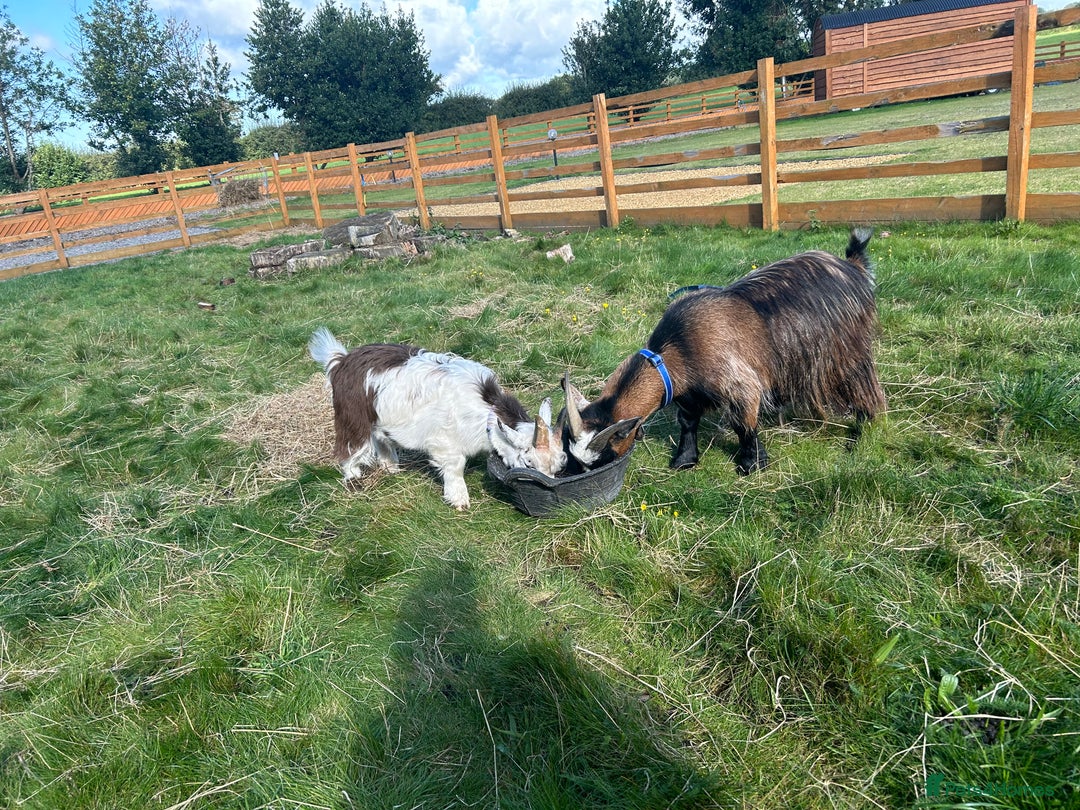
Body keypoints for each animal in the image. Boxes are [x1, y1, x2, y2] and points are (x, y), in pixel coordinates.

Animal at [309, 328, 565, 508]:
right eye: (529, 462)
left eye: (558, 465)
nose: (546, 488)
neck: (484, 406)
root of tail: (341, 361)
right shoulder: (444, 441)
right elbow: (455, 466)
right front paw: (459, 499)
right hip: (353, 417)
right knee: (350, 448)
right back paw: (353, 478)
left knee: (381, 440)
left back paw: (391, 467)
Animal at [561, 228, 886, 475]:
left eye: (604, 457)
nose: (574, 476)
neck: (675, 351)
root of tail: (851, 265)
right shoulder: (688, 394)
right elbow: (688, 423)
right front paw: (684, 460)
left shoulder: (739, 383)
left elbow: (744, 425)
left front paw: (751, 463)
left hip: (846, 351)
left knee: (864, 384)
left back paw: (864, 426)